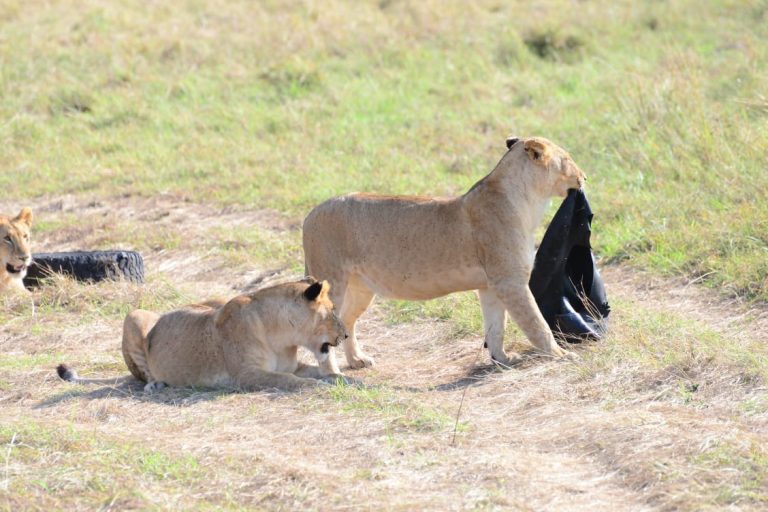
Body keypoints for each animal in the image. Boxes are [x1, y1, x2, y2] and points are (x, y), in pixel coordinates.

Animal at [57, 278, 351, 392]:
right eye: (332, 310)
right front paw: (322, 386)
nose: (346, 335)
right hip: (134, 316)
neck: (285, 337)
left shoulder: (294, 364)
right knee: (143, 374)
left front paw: (345, 379)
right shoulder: (246, 375)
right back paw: (155, 385)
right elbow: (291, 381)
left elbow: (319, 372)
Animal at [302, 136, 586, 370]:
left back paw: (357, 360)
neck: (529, 203)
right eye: (568, 159)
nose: (585, 177)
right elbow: (537, 324)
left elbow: (496, 327)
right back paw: (332, 373)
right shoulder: (510, 281)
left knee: (345, 321)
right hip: (332, 280)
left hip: (360, 287)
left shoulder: (491, 286)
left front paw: (502, 359)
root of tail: (310, 214)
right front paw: (561, 356)